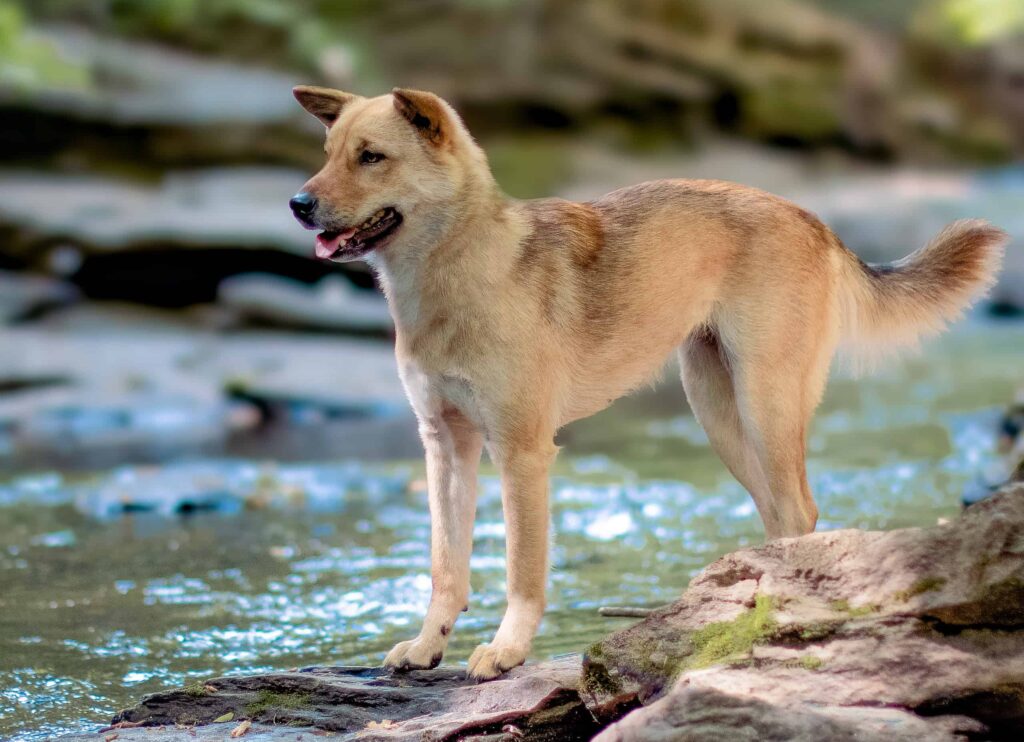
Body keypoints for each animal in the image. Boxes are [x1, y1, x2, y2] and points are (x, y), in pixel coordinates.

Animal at [288, 83, 1007, 679]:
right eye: (327, 154)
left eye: (371, 157)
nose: (298, 203)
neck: (457, 272)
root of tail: (814, 221)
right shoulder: (445, 447)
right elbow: (446, 567)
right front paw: (426, 646)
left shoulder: (522, 453)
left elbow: (523, 569)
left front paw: (507, 650)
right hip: (719, 414)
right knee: (783, 515)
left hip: (765, 405)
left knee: (800, 510)